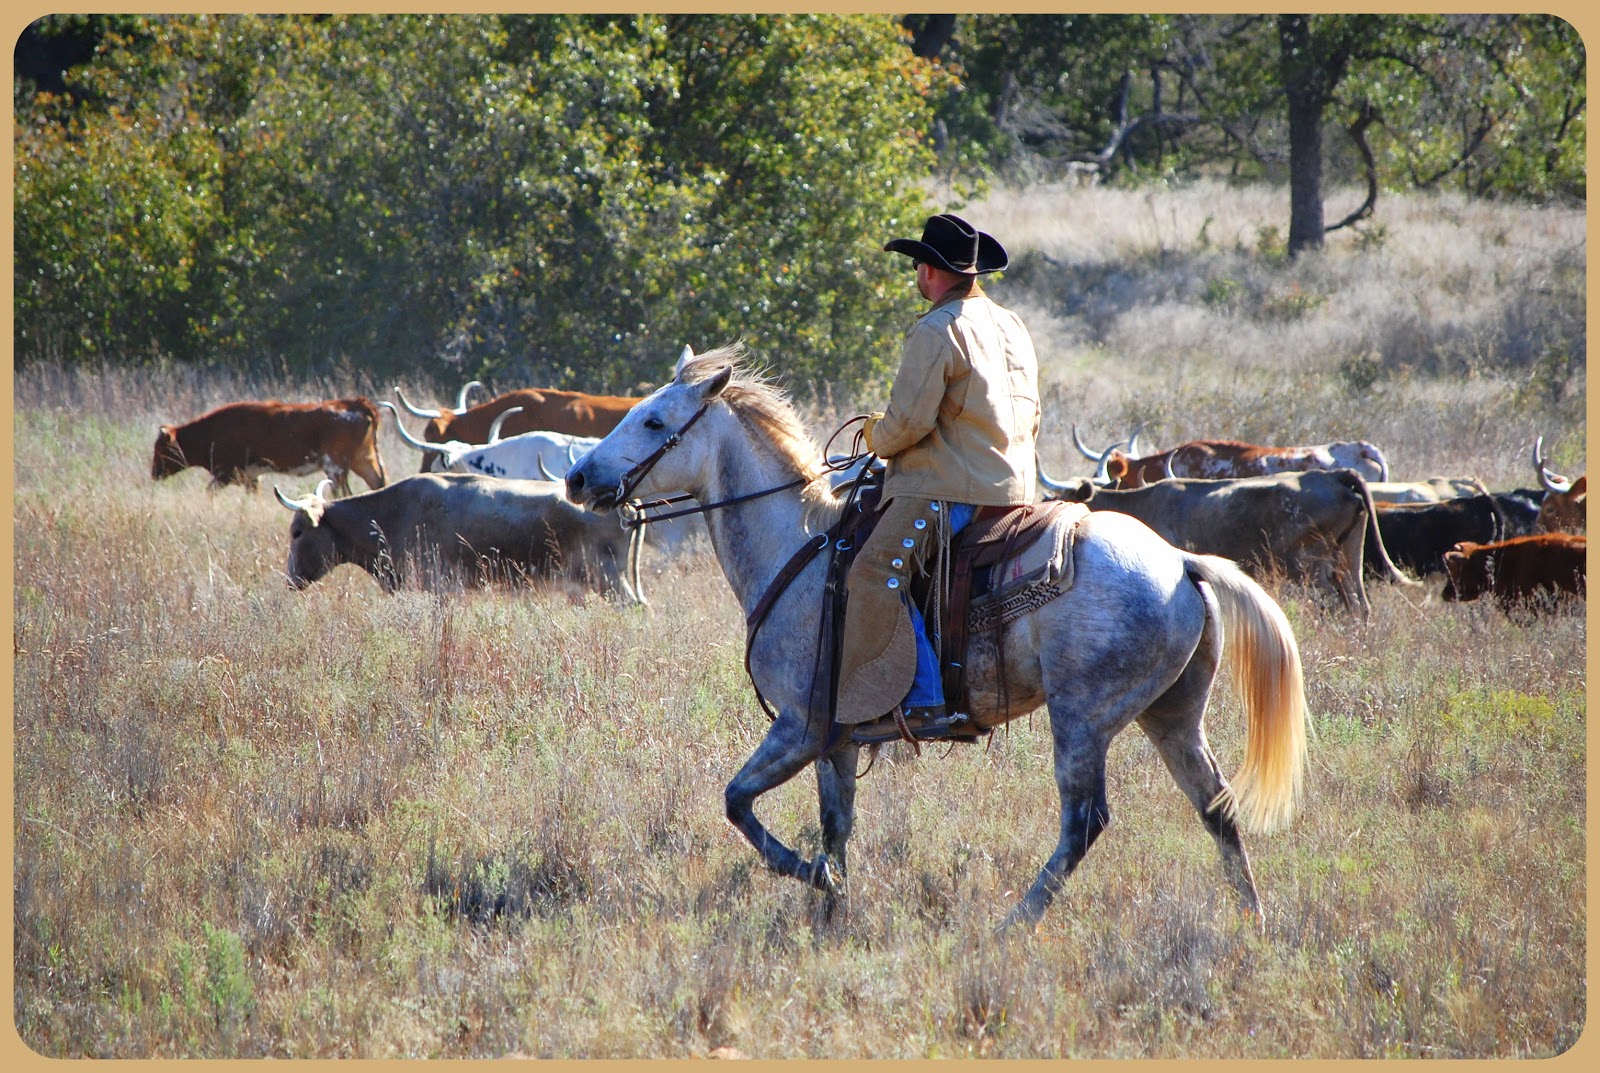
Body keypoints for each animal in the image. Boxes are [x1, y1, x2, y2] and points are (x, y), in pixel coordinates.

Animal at [152, 398, 387, 496]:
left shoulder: (224, 474)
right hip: (364, 461)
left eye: (160, 449)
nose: (154, 473)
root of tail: (357, 403)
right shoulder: (251, 478)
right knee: (378, 483)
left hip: (336, 469)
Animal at [273, 473, 641, 600]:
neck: (393, 512)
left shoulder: (440, 587)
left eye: (297, 531)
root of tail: (626, 505)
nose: (290, 580)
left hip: (607, 579)